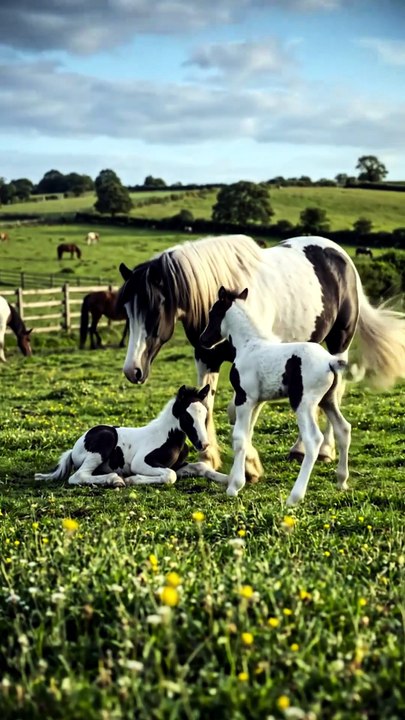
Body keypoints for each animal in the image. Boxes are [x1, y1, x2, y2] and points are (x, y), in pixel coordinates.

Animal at [34, 384, 227, 487]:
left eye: (205, 415)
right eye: (187, 417)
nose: (203, 444)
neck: (168, 437)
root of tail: (74, 448)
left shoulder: (179, 465)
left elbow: (201, 467)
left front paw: (228, 479)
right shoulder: (141, 462)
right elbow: (170, 475)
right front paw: (133, 479)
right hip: (106, 439)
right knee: (77, 476)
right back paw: (116, 479)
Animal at [116, 234, 405, 473]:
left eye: (153, 309)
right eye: (127, 310)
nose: (133, 370)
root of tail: (342, 257)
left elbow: (243, 413)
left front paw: (249, 462)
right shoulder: (206, 358)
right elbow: (206, 404)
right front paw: (208, 458)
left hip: (339, 344)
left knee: (336, 393)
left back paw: (323, 451)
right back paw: (301, 448)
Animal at [200, 287, 351, 503]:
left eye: (213, 313)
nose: (203, 340)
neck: (250, 344)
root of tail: (330, 361)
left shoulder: (244, 399)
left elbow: (239, 437)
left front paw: (234, 486)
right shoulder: (256, 401)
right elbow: (247, 435)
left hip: (303, 404)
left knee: (313, 439)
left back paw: (295, 497)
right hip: (327, 401)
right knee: (343, 429)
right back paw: (342, 481)